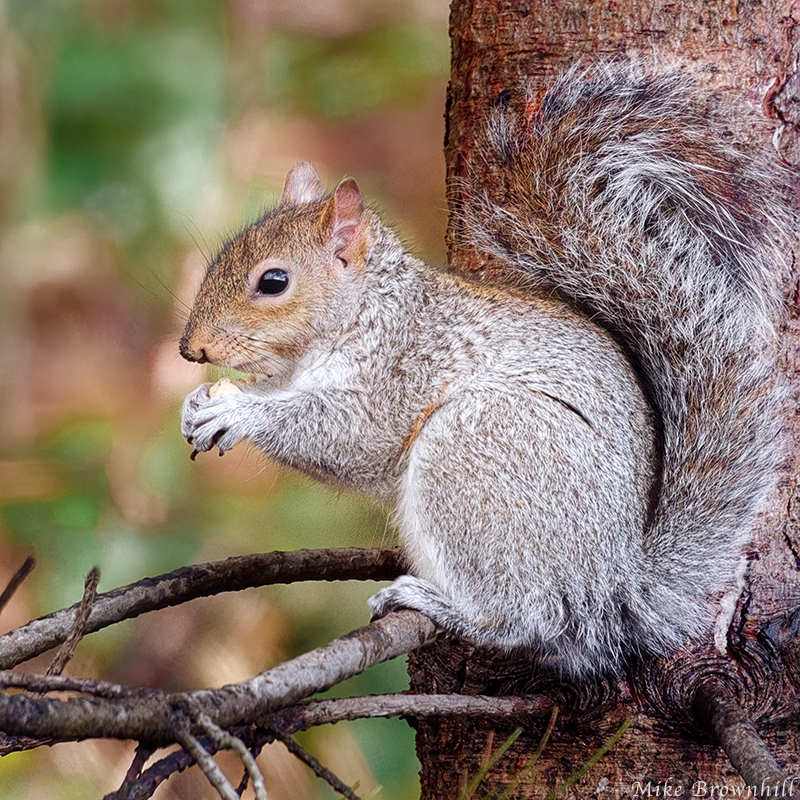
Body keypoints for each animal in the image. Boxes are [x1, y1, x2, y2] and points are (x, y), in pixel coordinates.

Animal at [180, 64, 788, 676]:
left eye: (273, 281)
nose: (190, 349)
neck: (359, 316)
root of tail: (612, 589)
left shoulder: (399, 373)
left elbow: (349, 437)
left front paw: (238, 411)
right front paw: (203, 402)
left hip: (475, 454)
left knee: (526, 618)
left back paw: (440, 604)